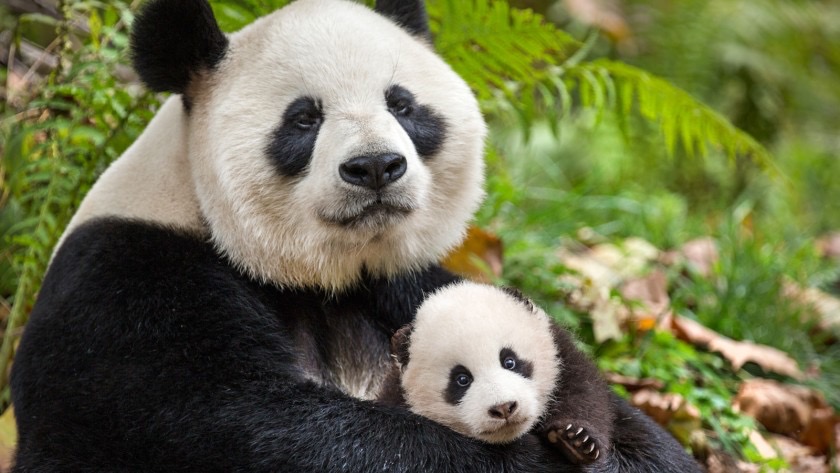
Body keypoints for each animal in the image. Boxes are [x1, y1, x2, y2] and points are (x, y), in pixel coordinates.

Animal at [378, 280, 612, 464]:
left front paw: (576, 441)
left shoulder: (561, 354)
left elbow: (583, 391)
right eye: (462, 379)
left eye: (509, 361)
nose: (504, 408)